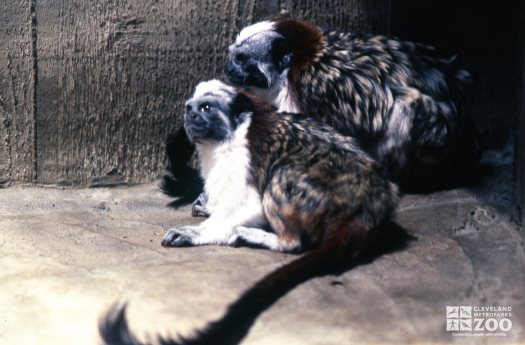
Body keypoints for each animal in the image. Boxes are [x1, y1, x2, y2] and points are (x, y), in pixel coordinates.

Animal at [100, 80, 400, 344]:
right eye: (190, 107)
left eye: (206, 108)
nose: (191, 116)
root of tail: (369, 206)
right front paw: (207, 204)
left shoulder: (241, 159)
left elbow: (250, 205)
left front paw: (196, 233)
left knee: (284, 184)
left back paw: (271, 238)